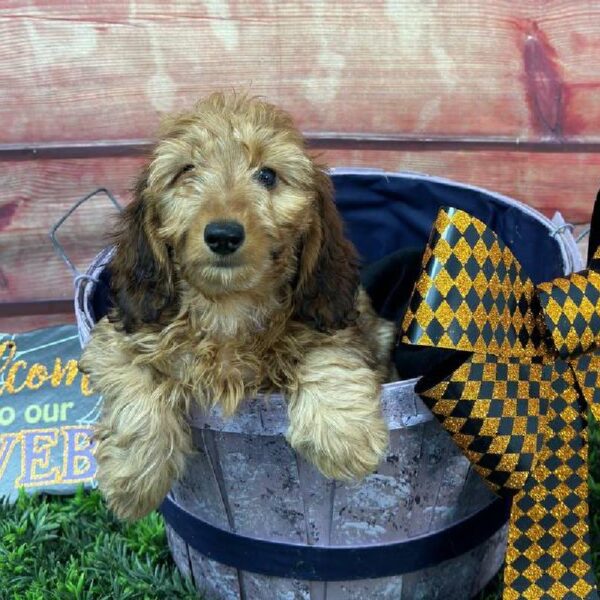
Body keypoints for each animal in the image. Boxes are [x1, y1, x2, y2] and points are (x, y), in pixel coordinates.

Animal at [82, 92, 396, 520]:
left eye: (267, 176)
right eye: (186, 171)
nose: (223, 235)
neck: (227, 308)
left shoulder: (340, 320)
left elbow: (328, 353)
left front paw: (343, 433)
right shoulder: (116, 338)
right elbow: (136, 385)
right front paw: (134, 479)